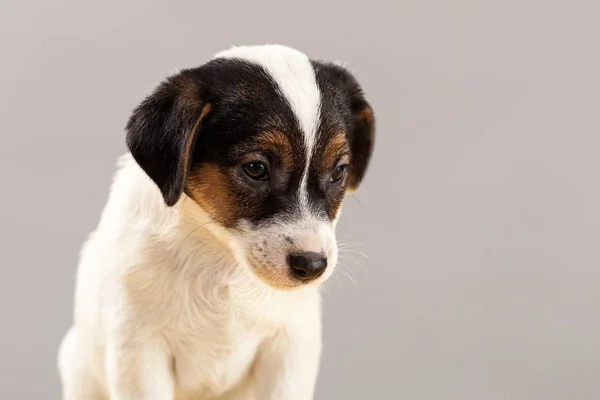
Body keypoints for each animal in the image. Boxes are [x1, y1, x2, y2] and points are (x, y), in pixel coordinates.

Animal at [56, 44, 376, 400]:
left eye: (339, 171)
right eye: (255, 168)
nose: (312, 265)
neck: (222, 259)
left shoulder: (290, 349)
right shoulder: (138, 351)